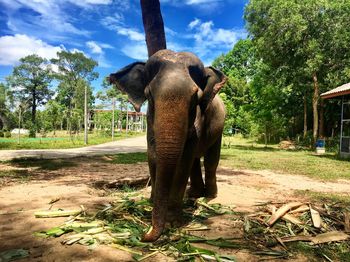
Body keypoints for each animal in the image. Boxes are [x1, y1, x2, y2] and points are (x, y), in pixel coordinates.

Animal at [109, 49, 227, 242]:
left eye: (196, 98)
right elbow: (153, 155)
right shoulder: (150, 123)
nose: (143, 235)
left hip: (220, 128)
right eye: (148, 94)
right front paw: (151, 203)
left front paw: (172, 223)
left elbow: (183, 162)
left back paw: (209, 195)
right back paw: (194, 194)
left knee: (210, 160)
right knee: (195, 161)